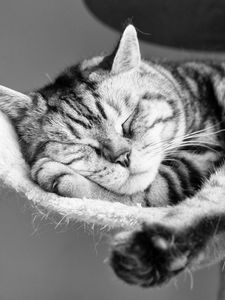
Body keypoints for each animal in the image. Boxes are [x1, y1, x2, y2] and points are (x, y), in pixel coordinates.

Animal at [0, 24, 225, 288]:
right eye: (81, 145)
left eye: (127, 122)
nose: (122, 157)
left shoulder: (198, 157)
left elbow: (137, 194)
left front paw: (62, 176)